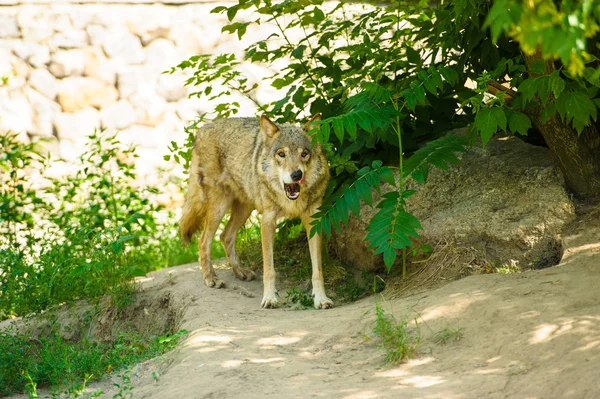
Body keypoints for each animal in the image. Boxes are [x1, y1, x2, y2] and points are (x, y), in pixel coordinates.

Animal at [180, 114, 336, 310]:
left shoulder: (313, 220)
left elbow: (318, 270)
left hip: (245, 207)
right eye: (281, 154)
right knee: (203, 241)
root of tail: (202, 129)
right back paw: (211, 278)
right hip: (219, 206)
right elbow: (269, 269)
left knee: (225, 235)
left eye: (304, 154)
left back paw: (240, 272)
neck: (291, 202)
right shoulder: (268, 221)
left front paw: (321, 299)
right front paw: (269, 298)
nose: (296, 175)